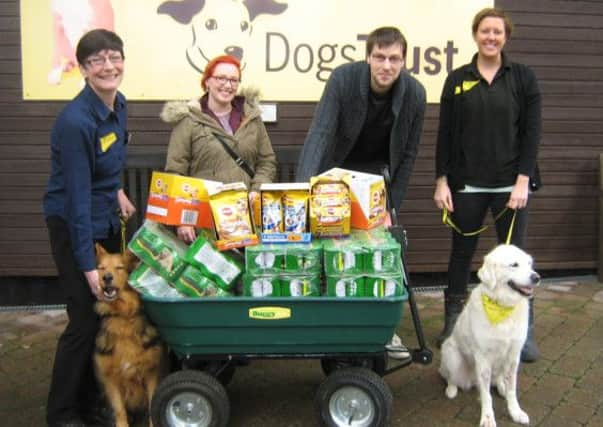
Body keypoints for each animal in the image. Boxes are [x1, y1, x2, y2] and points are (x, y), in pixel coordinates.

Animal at [94, 244, 165, 427]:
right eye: (101, 269)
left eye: (119, 267)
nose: (106, 278)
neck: (123, 317)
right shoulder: (110, 377)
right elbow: (119, 410)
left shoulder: (152, 370)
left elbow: (153, 404)